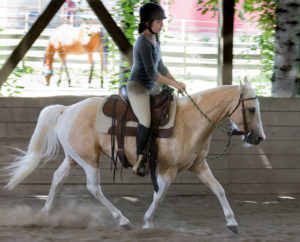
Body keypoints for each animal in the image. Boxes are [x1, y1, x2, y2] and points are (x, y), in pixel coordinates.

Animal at [4, 78, 264, 233]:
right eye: (251, 109)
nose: (259, 138)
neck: (190, 122)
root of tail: (67, 109)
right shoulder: (166, 170)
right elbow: (159, 196)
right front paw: (147, 222)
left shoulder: (198, 165)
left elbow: (219, 189)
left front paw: (232, 222)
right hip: (89, 160)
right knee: (93, 188)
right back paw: (122, 220)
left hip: (73, 158)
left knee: (58, 178)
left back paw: (45, 215)